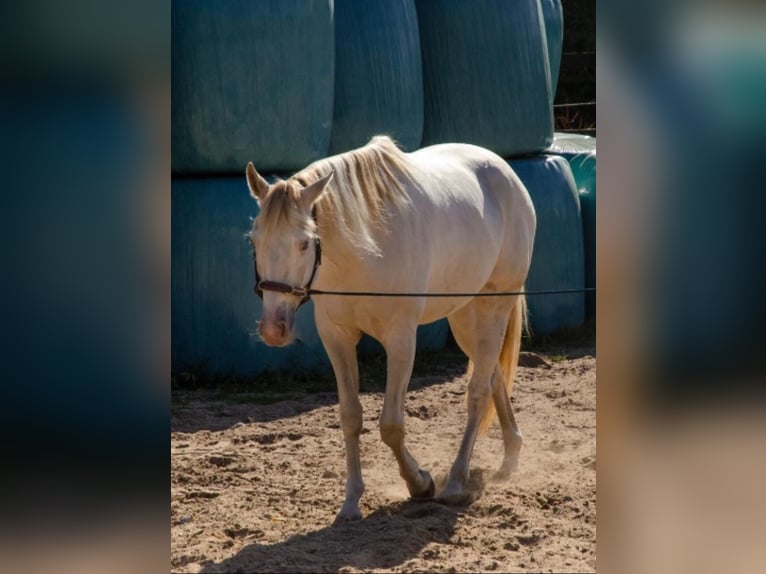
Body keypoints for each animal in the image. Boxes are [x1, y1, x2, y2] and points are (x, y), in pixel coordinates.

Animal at [249, 137, 536, 524]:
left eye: (305, 242)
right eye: (254, 240)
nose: (273, 328)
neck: (364, 252)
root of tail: (504, 171)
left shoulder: (401, 340)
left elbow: (391, 425)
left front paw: (420, 483)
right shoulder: (337, 338)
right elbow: (351, 416)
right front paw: (351, 501)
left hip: (494, 307)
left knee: (477, 392)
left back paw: (456, 481)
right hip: (465, 317)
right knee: (491, 376)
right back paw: (510, 455)